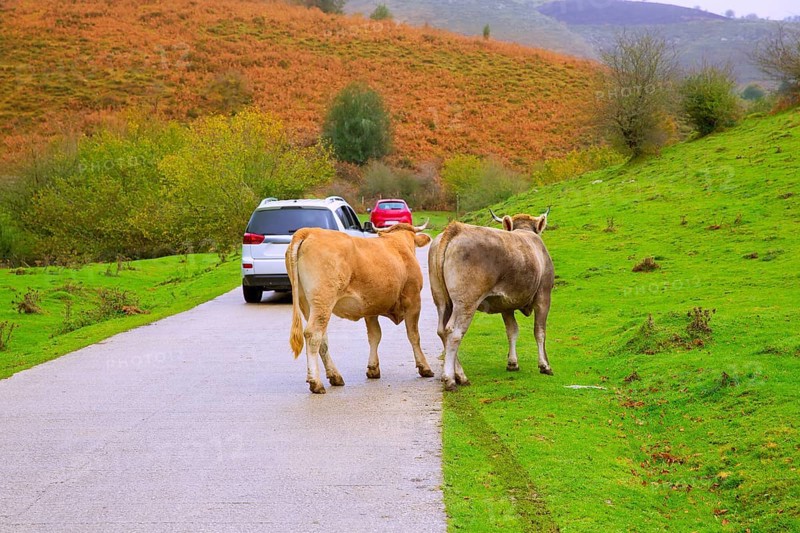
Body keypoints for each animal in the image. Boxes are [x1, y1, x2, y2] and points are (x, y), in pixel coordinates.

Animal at [286, 222, 435, 394]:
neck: (399, 245)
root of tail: (309, 231)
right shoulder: (414, 301)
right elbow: (414, 335)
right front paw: (424, 367)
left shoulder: (370, 308)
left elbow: (375, 335)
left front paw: (373, 369)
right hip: (323, 300)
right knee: (313, 335)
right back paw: (316, 382)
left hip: (307, 304)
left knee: (323, 338)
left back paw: (335, 376)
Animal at [428, 208, 554, 391]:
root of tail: (456, 229)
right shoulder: (543, 297)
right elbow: (539, 331)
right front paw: (545, 365)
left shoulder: (506, 304)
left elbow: (512, 331)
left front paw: (512, 363)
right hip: (466, 302)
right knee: (454, 333)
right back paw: (451, 379)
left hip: (442, 301)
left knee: (442, 331)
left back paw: (459, 375)